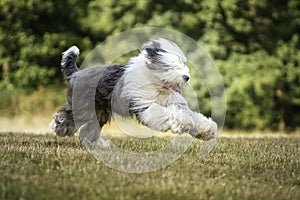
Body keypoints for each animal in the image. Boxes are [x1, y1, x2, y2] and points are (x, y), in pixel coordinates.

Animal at [49, 38, 218, 146]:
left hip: (101, 112)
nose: (186, 77)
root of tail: (76, 74)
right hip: (85, 106)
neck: (157, 84)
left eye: (182, 64)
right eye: (170, 67)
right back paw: (59, 127)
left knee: (87, 130)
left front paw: (207, 130)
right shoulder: (146, 106)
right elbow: (171, 115)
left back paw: (99, 146)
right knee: (67, 116)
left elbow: (193, 117)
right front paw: (186, 123)